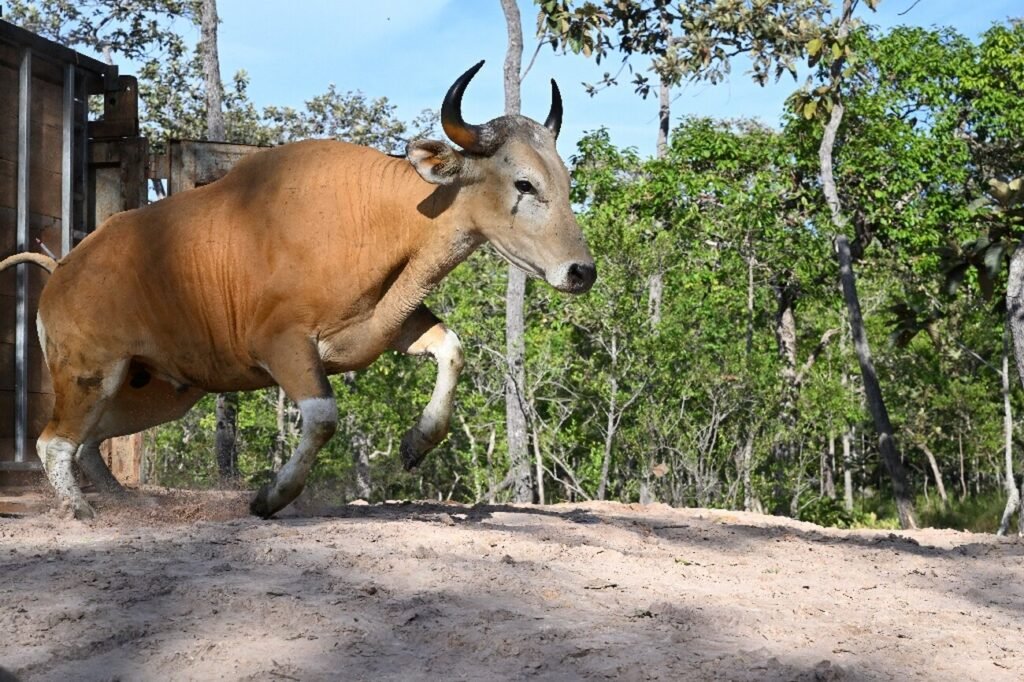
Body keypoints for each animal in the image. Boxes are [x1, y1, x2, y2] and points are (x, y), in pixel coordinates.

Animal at [0, 61, 595, 520]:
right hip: (90, 374)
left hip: (157, 390)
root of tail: (64, 269)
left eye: (565, 182)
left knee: (90, 440)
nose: (581, 272)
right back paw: (81, 509)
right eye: (523, 183)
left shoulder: (391, 323)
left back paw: (124, 501)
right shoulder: (284, 347)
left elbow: (453, 350)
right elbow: (324, 417)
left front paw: (416, 442)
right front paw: (273, 496)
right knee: (55, 441)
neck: (374, 215)